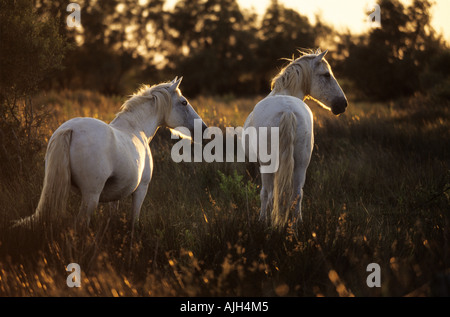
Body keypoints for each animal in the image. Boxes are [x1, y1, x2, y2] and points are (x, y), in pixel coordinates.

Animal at [14, 77, 207, 235]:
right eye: (184, 102)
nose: (203, 129)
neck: (136, 128)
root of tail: (70, 130)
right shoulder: (141, 189)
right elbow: (134, 220)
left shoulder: (115, 195)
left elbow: (112, 217)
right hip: (91, 195)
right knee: (81, 223)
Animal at [244, 48, 346, 227]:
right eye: (326, 75)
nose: (343, 104)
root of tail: (287, 109)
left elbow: (268, 193)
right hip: (301, 163)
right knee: (297, 193)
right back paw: (297, 224)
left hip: (268, 164)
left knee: (268, 193)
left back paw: (264, 222)